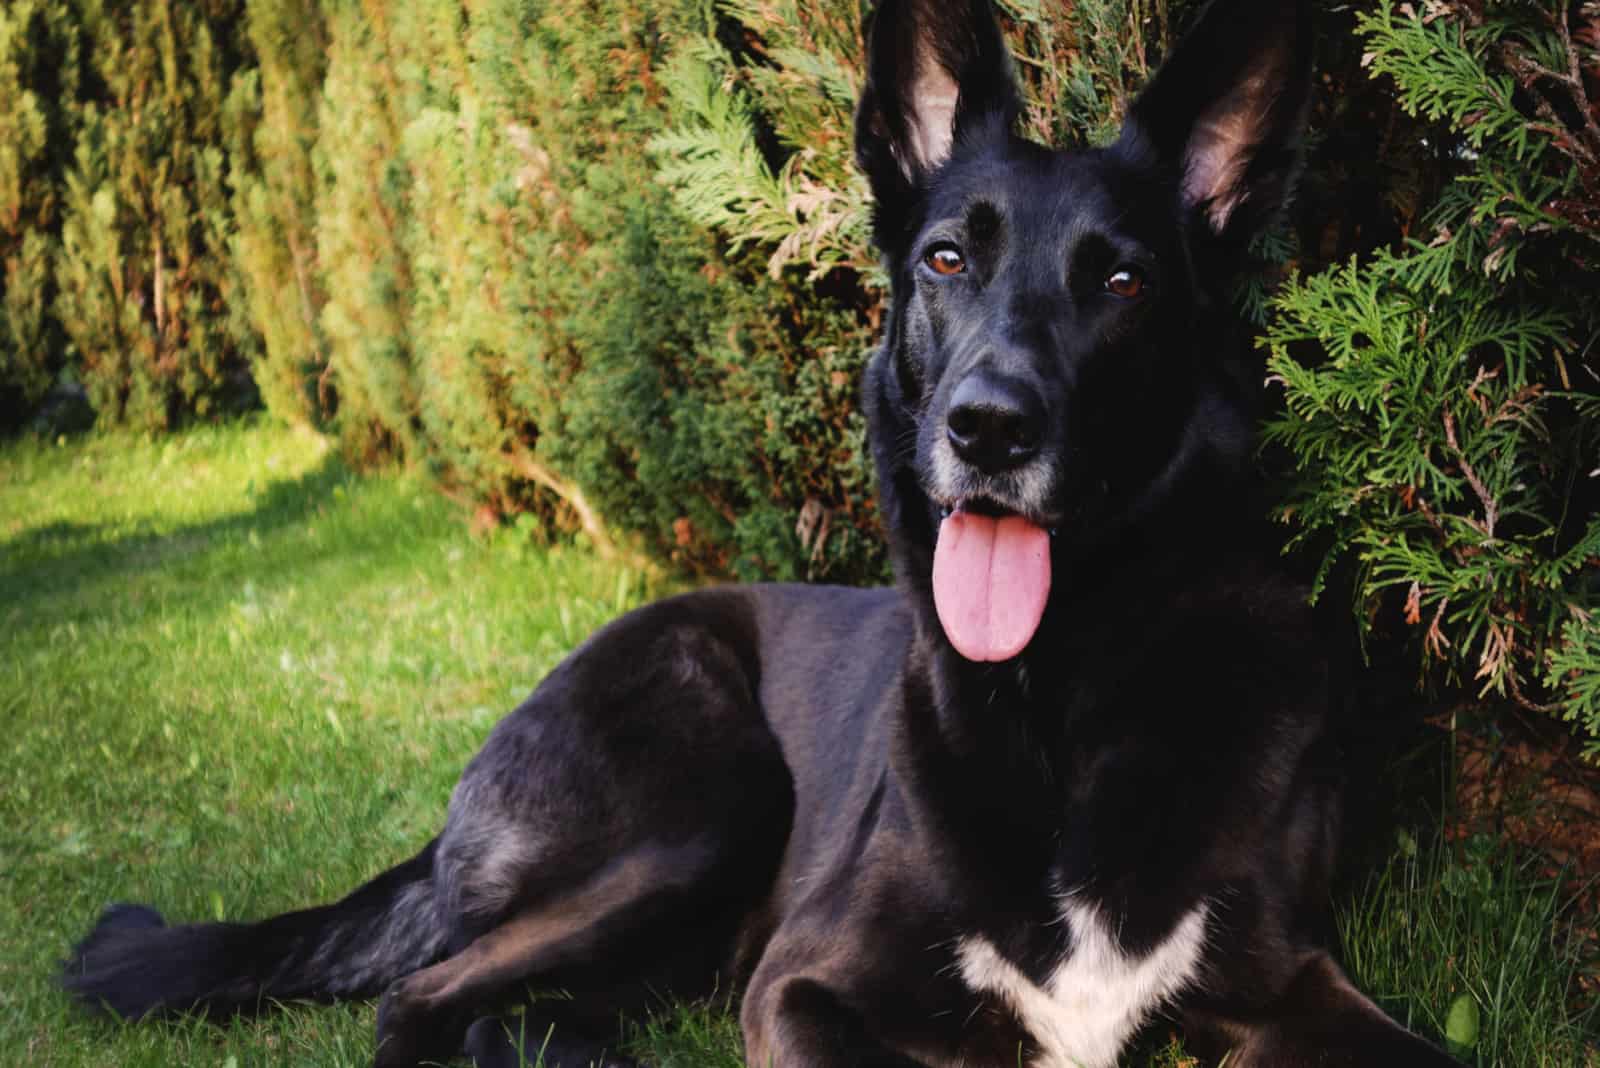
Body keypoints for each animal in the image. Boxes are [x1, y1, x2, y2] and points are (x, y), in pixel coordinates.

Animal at [62, 0, 1465, 1061]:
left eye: (1121, 281)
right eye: (946, 260)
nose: (988, 429)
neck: (1060, 694)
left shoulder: (1291, 983)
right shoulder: (802, 985)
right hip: (706, 797)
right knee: (424, 998)